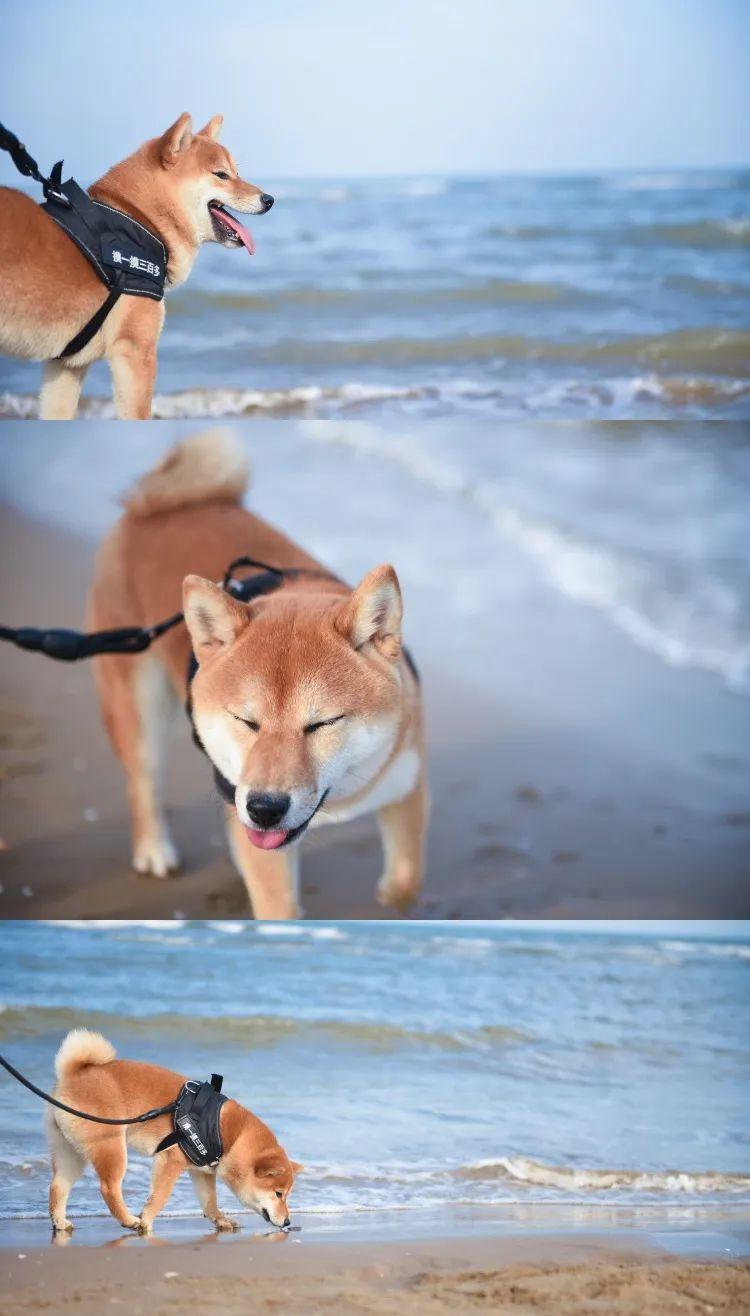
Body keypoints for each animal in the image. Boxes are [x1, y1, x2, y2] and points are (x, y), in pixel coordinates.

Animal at [0, 117, 271, 418]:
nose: (269, 199)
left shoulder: (65, 366)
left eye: (237, 172)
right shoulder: (136, 352)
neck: (138, 218)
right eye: (221, 175)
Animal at [45, 1026, 297, 1231]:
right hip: (110, 1147)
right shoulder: (170, 1161)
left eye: (287, 1195)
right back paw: (129, 1220)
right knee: (108, 1188)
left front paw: (221, 1220)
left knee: (58, 1186)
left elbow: (210, 1202)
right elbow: (159, 1197)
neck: (231, 1135)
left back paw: (60, 1222)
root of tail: (73, 1074)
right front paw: (146, 1221)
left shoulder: (201, 1171)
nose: (287, 1222)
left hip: (70, 1152)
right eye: (278, 1194)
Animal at [87, 429, 426, 915]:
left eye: (322, 723)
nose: (265, 808)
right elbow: (278, 908)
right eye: (246, 721)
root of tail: (154, 505)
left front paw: (391, 900)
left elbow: (406, 878)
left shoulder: (406, 785)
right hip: (136, 705)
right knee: (143, 782)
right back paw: (154, 849)